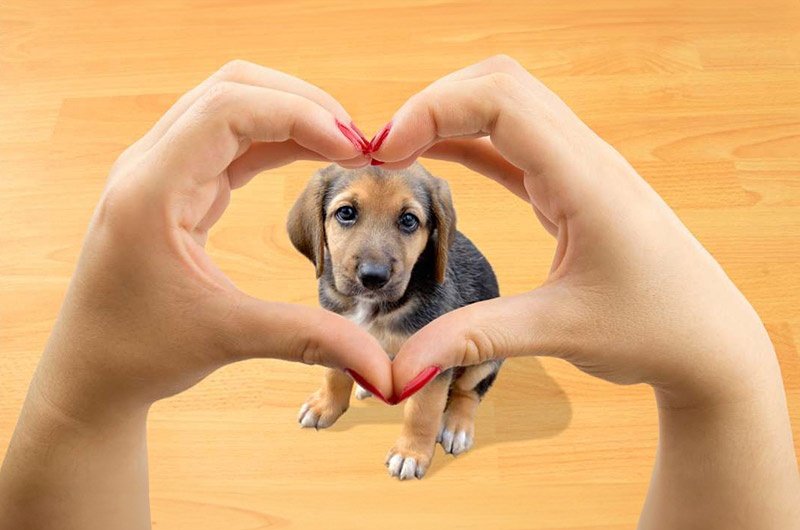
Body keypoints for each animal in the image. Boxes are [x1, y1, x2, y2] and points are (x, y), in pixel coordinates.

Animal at [288, 162, 500, 478]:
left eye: (409, 220)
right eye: (346, 213)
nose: (373, 277)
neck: (373, 307)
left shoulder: (431, 361)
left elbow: (422, 412)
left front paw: (410, 453)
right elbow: (334, 376)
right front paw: (326, 405)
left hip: (483, 355)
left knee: (468, 391)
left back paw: (456, 426)